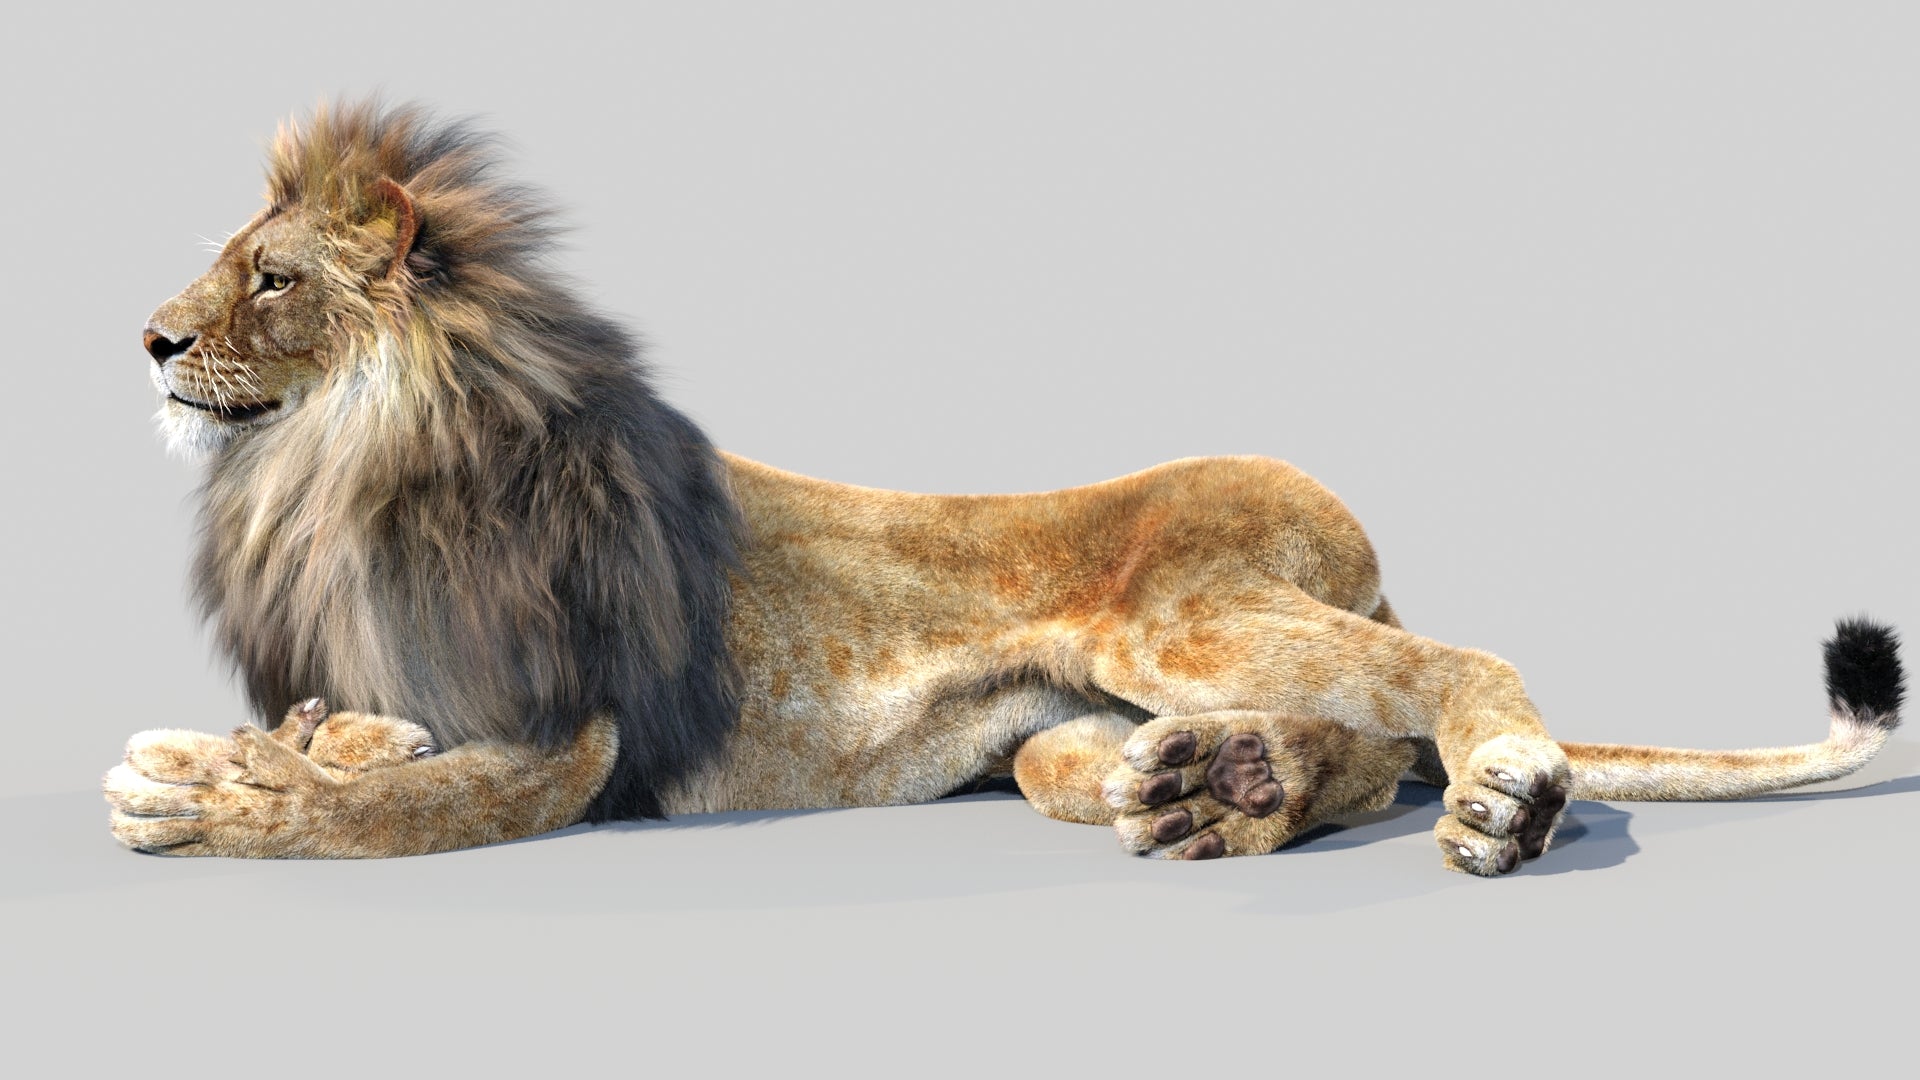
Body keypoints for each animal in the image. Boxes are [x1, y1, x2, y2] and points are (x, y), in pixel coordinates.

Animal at [105, 101, 1906, 873]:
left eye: (270, 278)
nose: (151, 337)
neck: (326, 472)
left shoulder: (579, 733)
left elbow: (398, 807)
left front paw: (225, 794)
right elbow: (368, 743)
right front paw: (250, 748)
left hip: (1187, 613)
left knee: (1434, 696)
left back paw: (1494, 797)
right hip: (1067, 722)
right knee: (1314, 750)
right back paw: (1210, 787)